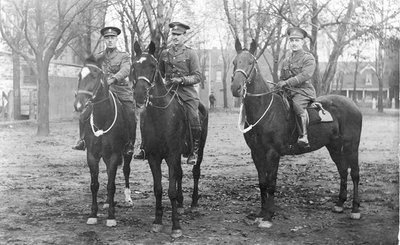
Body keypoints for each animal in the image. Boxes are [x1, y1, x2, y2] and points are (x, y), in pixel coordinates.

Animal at [71, 55, 134, 228]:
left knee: (126, 171)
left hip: (127, 153)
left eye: (94, 76)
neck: (102, 117)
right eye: (79, 76)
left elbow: (111, 185)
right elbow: (95, 185)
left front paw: (111, 217)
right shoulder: (92, 156)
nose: (79, 105)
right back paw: (106, 202)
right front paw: (93, 214)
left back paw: (128, 198)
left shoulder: (114, 155)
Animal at [131, 41, 209, 238]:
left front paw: (176, 226)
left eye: (153, 66)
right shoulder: (154, 157)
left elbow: (171, 190)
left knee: (195, 172)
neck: (160, 115)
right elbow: (158, 189)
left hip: (199, 150)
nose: (140, 96)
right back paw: (180, 205)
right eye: (134, 66)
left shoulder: (172, 155)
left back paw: (193, 204)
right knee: (180, 174)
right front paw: (158, 221)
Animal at [228, 38, 362, 228]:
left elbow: (271, 183)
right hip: (334, 147)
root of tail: (353, 105)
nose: (236, 88)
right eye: (234, 62)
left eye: (251, 62)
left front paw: (269, 216)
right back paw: (340, 204)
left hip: (351, 146)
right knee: (343, 170)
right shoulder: (256, 153)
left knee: (355, 173)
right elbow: (262, 183)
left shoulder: (273, 153)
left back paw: (355, 209)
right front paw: (261, 213)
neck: (265, 109)